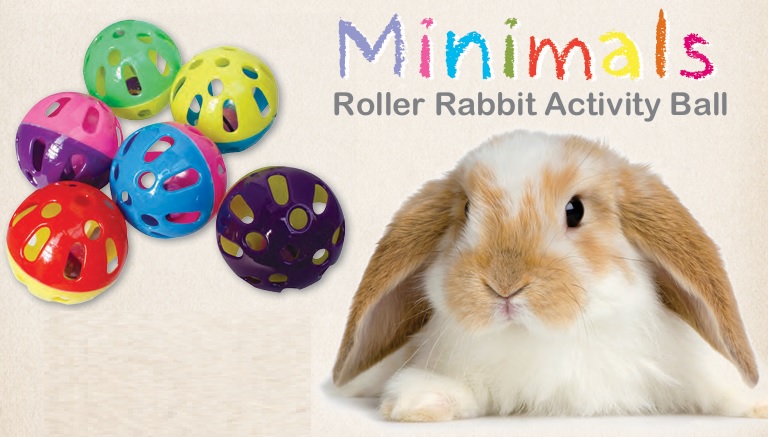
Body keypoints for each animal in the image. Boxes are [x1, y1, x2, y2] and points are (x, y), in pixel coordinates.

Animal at [332, 130, 767, 422]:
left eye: (575, 210)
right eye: (467, 210)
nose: (504, 284)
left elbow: (720, 384)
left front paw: (757, 403)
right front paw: (419, 401)